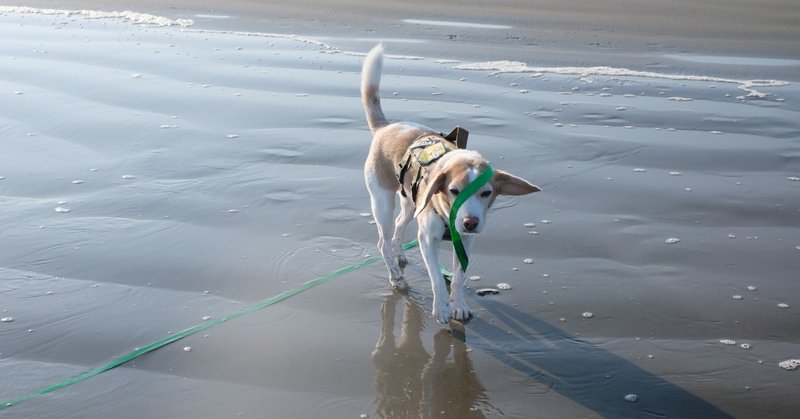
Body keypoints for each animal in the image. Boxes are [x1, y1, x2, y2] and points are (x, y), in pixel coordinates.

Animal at [364, 43, 544, 324]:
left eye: (486, 193)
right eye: (453, 191)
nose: (470, 222)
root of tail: (386, 127)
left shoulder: (466, 242)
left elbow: (459, 278)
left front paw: (458, 305)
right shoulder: (427, 239)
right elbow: (437, 278)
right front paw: (441, 308)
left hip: (410, 203)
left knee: (398, 227)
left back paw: (400, 254)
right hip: (381, 202)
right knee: (383, 241)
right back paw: (397, 278)